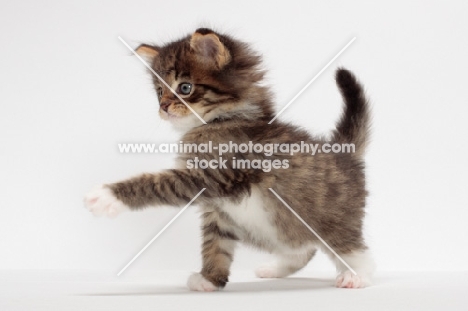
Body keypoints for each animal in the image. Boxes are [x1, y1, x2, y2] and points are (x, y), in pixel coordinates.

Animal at [85, 28, 376, 292]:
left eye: (184, 88)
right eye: (159, 92)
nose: (164, 107)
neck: (222, 119)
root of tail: (342, 150)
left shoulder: (211, 176)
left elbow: (156, 183)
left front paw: (106, 196)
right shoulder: (218, 210)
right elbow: (215, 245)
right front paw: (210, 280)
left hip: (331, 219)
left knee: (351, 247)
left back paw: (356, 275)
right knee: (302, 248)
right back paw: (274, 268)